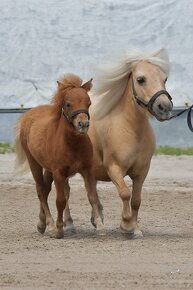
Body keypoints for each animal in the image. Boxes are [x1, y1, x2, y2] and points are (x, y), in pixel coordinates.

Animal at [14, 74, 104, 238]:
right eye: (68, 104)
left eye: (89, 103)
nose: (83, 124)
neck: (72, 143)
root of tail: (28, 115)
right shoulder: (58, 172)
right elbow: (60, 200)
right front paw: (59, 230)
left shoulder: (87, 170)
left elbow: (92, 196)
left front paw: (99, 225)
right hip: (34, 163)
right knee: (40, 190)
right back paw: (49, 225)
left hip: (48, 169)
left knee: (45, 190)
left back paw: (42, 223)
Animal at [62, 48, 173, 238]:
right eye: (140, 79)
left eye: (164, 78)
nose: (164, 108)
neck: (131, 130)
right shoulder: (114, 169)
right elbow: (125, 193)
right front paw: (126, 225)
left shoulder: (142, 172)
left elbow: (136, 200)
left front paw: (135, 229)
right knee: (67, 193)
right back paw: (70, 224)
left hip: (90, 171)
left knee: (92, 193)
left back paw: (97, 221)